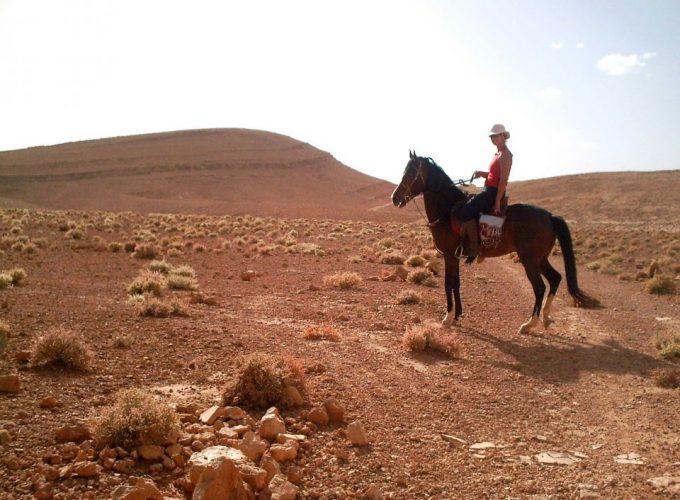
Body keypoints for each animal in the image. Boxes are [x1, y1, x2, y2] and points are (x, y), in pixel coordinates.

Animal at [390, 150, 596, 334]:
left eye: (410, 172)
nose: (395, 198)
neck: (447, 210)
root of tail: (550, 216)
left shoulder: (449, 255)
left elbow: (448, 283)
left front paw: (447, 318)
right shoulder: (455, 256)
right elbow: (456, 283)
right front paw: (457, 315)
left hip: (529, 259)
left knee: (540, 287)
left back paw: (529, 324)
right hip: (541, 258)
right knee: (555, 279)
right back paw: (545, 318)